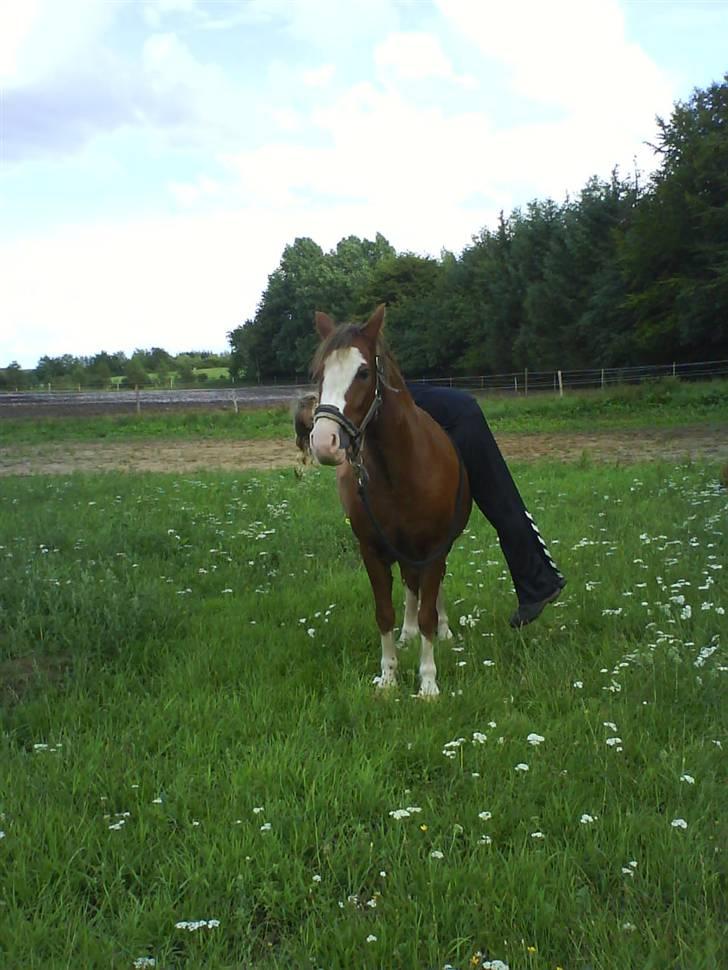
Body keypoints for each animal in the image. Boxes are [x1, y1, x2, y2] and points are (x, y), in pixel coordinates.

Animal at [309, 304, 472, 697]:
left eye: (363, 372)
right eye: (320, 373)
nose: (323, 441)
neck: (401, 468)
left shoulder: (434, 548)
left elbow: (429, 609)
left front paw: (428, 683)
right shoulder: (372, 550)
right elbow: (385, 612)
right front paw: (389, 678)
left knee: (432, 590)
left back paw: (443, 632)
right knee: (412, 587)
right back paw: (407, 635)